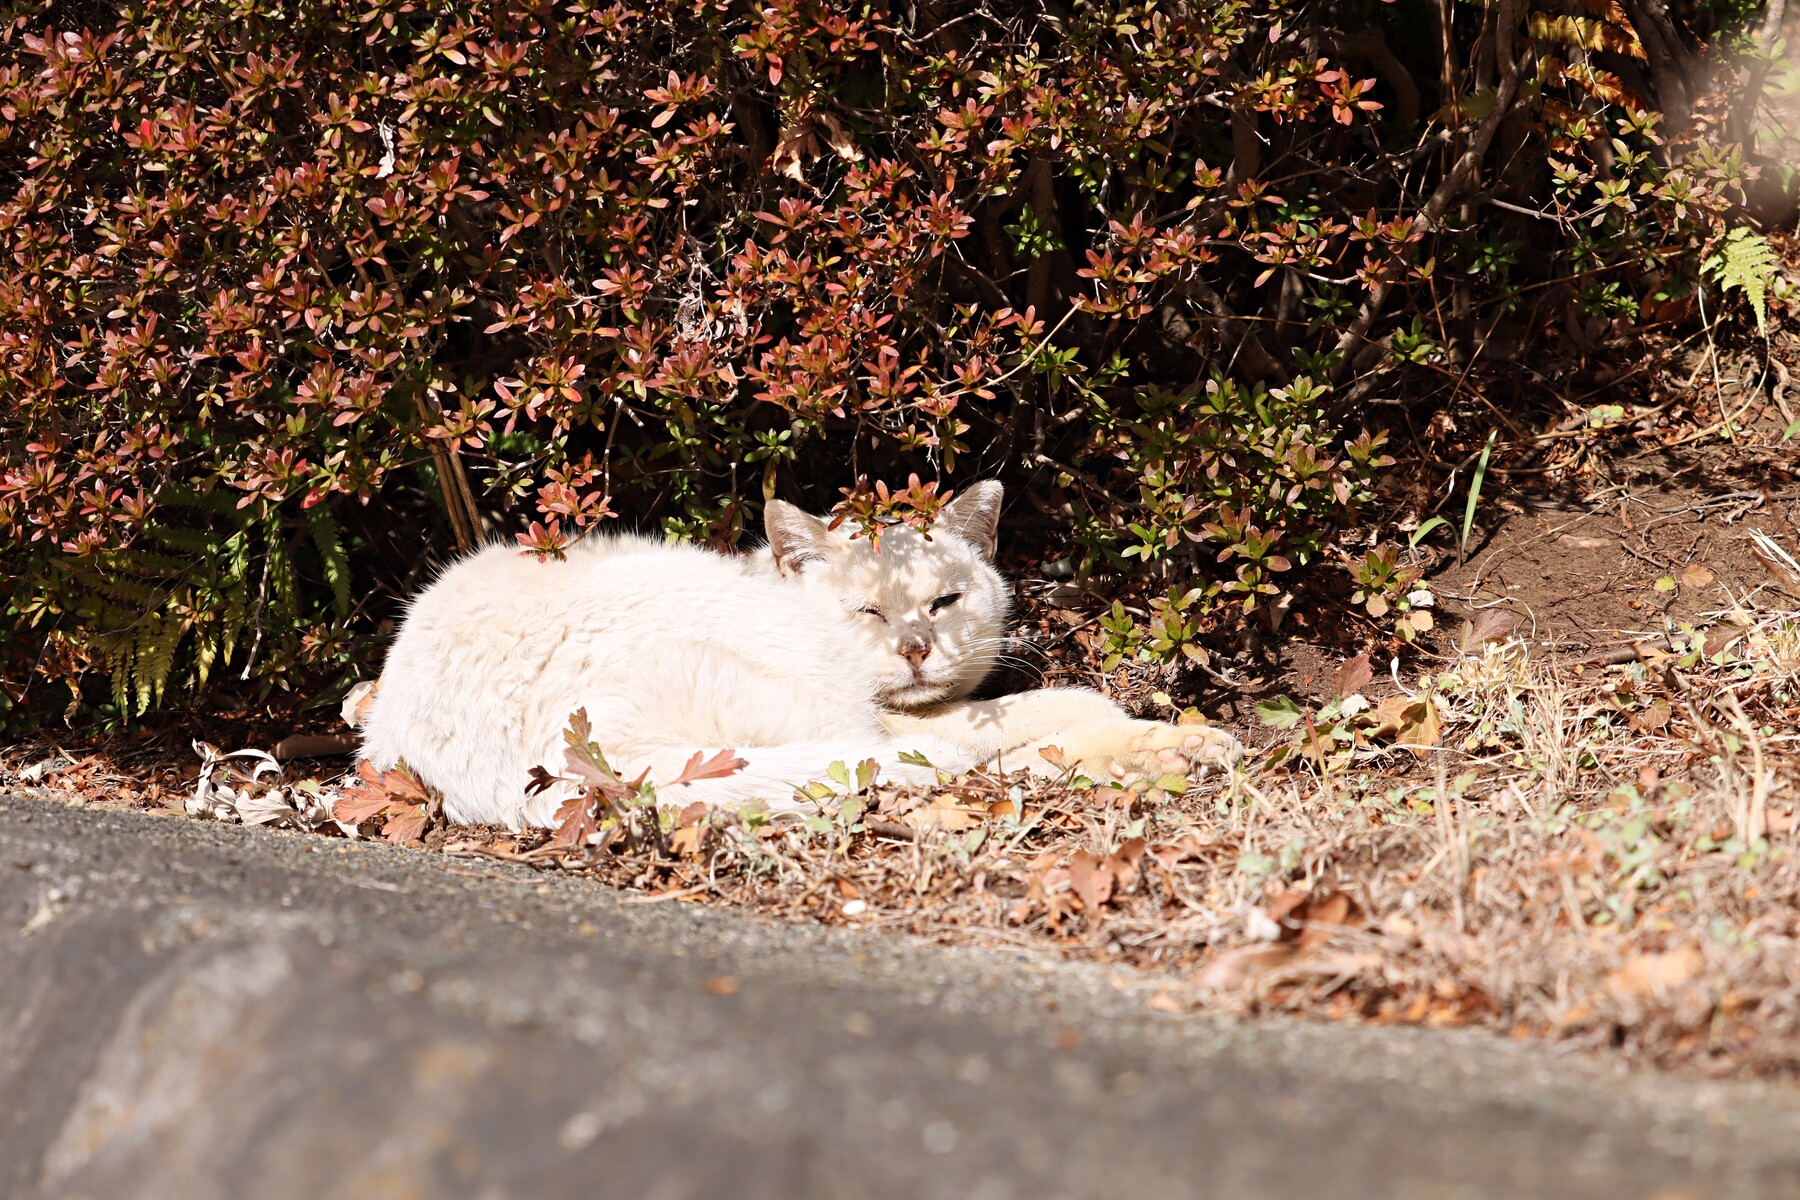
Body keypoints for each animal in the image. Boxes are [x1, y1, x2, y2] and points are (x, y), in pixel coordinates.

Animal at [357, 481, 1240, 828]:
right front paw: (1160, 739)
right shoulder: (916, 717)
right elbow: (1068, 705)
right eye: (868, 611)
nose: (915, 648)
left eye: (943, 604)